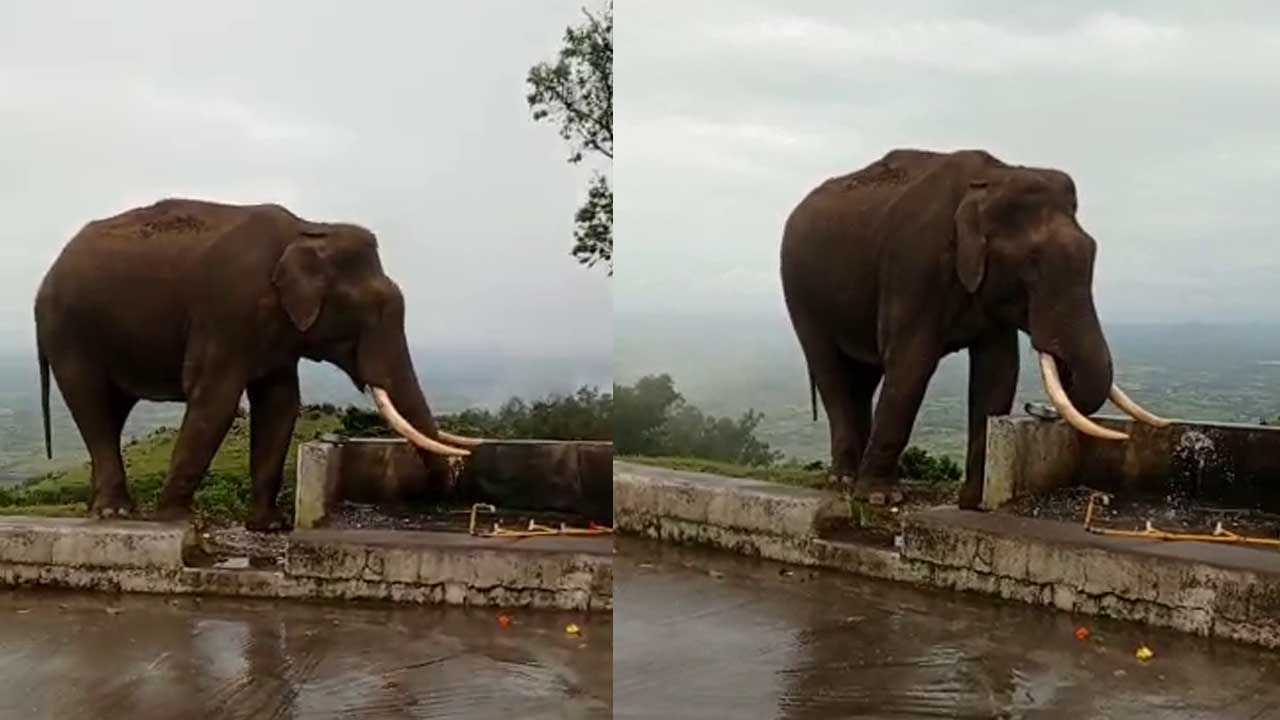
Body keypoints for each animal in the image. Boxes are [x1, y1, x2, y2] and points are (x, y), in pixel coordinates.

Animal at [38, 196, 483, 527]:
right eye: (374, 312)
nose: (439, 498)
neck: (309, 228)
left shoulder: (276, 333)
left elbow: (280, 404)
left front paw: (268, 526)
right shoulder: (228, 311)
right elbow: (215, 400)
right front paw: (174, 519)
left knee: (111, 410)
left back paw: (103, 510)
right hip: (67, 332)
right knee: (91, 402)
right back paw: (115, 512)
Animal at [778, 147, 1172, 504]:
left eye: (1092, 253)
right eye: (1032, 263)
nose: (1038, 409)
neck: (993, 178)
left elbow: (998, 372)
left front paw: (973, 502)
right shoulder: (913, 266)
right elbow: (910, 365)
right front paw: (879, 498)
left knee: (862, 376)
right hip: (800, 291)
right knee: (829, 367)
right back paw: (846, 480)